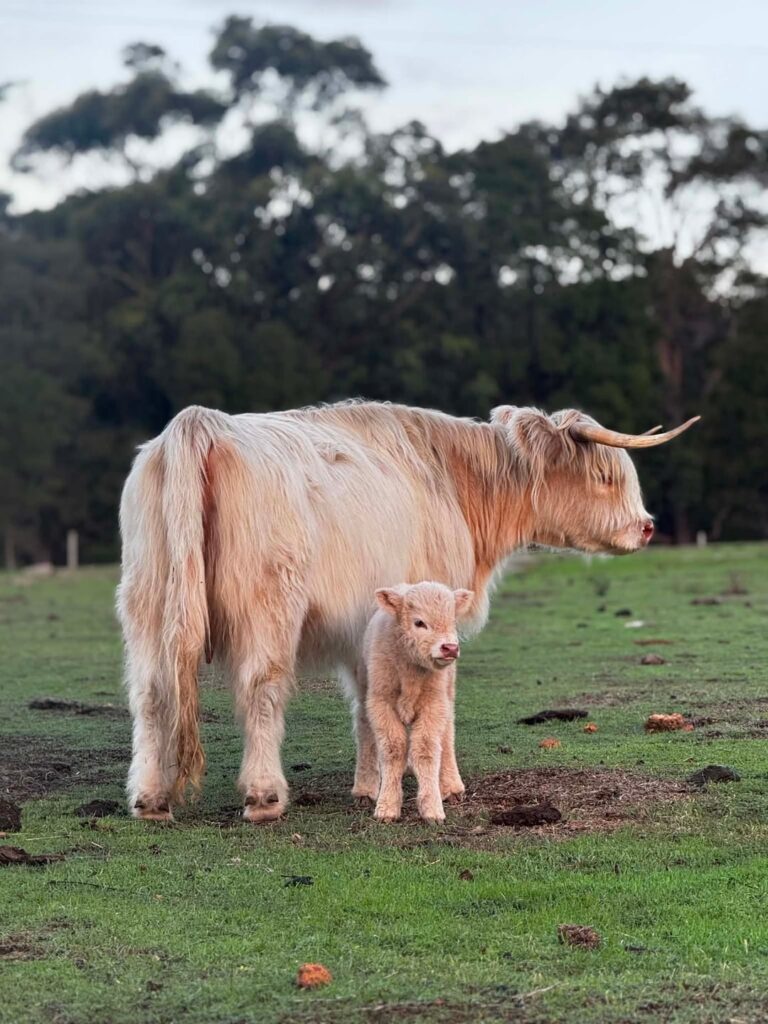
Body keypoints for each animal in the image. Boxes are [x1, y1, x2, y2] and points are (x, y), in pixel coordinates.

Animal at [363, 581, 474, 823]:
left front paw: (432, 808)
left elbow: (426, 748)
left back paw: (451, 786)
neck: (410, 671)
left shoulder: (434, 705)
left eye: (452, 621)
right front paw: (387, 807)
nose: (450, 648)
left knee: (446, 738)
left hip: (447, 696)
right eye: (419, 622)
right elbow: (393, 748)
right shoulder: (380, 703)